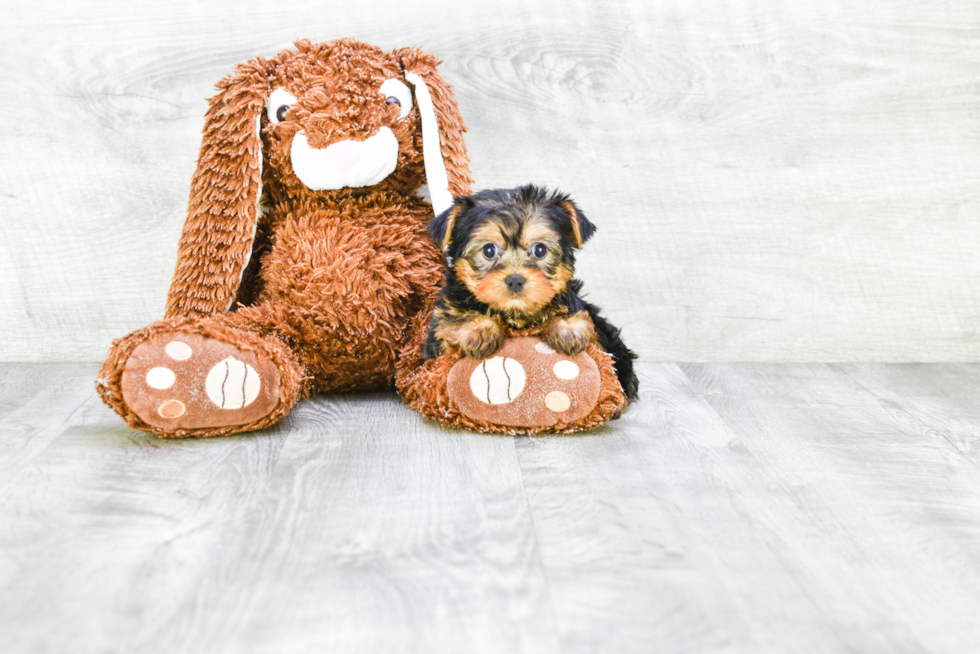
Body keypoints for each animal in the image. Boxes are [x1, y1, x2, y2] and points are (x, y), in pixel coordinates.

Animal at [424, 183, 640, 400]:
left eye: (540, 250)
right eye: (489, 250)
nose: (515, 280)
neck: (515, 314)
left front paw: (567, 327)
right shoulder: (438, 335)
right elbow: (450, 322)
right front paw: (479, 330)